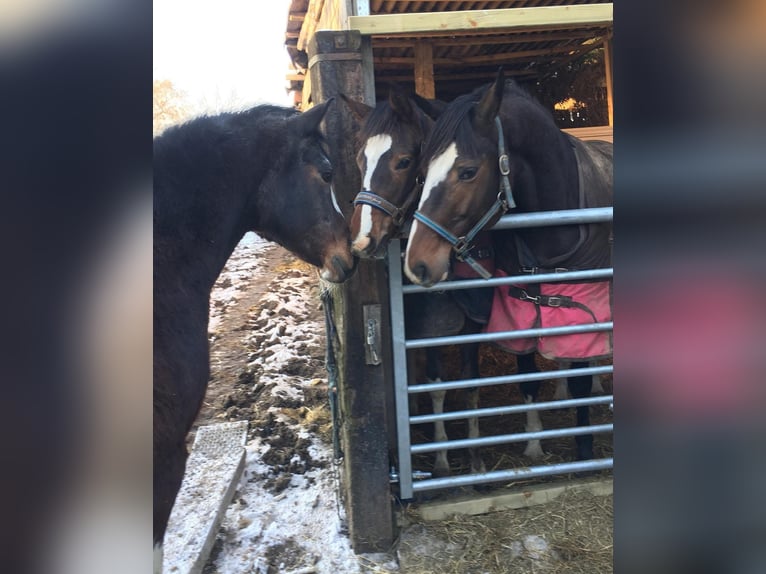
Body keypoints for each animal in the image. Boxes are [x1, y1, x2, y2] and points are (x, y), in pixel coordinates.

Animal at [404, 72, 616, 466]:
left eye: (468, 172)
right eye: (422, 173)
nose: (417, 264)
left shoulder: (580, 310)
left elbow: (581, 381)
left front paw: (583, 449)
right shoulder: (521, 309)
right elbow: (528, 377)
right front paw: (533, 444)